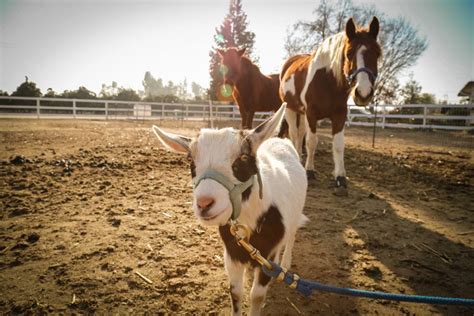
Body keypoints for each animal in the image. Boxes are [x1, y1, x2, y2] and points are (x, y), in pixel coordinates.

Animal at [280, 17, 380, 195]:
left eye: (377, 53)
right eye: (349, 53)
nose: (363, 93)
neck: (328, 81)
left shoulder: (339, 115)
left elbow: (338, 145)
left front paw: (340, 178)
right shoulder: (312, 113)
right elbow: (311, 142)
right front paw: (309, 171)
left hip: (301, 113)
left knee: (300, 132)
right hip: (290, 110)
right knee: (293, 133)